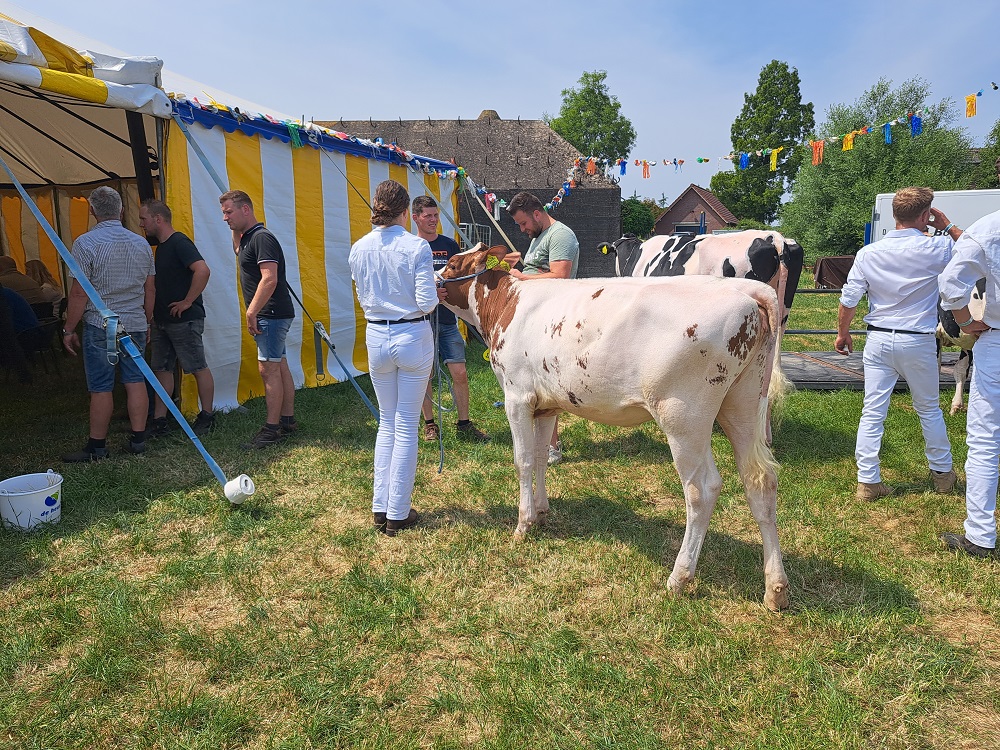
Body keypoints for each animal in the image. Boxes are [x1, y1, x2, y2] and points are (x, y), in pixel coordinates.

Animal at [438, 245, 788, 612]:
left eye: (452, 264)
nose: (433, 279)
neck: (509, 303)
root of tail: (744, 289)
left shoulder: (517, 397)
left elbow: (523, 461)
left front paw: (524, 523)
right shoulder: (546, 404)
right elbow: (540, 457)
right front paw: (542, 510)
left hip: (684, 415)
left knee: (702, 489)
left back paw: (679, 578)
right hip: (743, 403)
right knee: (761, 482)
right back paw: (776, 589)